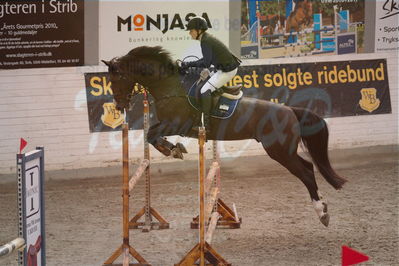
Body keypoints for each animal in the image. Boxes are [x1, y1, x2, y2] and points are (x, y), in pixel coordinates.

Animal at [102, 45, 346, 227]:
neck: (170, 87)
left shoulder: (176, 124)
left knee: (306, 172)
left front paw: (172, 149)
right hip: (283, 151)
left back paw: (322, 213)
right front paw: (174, 149)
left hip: (280, 151)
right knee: (308, 167)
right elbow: (150, 135)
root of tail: (290, 110)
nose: (119, 105)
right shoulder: (169, 125)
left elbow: (151, 135)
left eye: (117, 78)